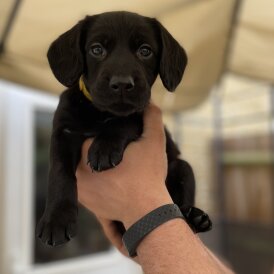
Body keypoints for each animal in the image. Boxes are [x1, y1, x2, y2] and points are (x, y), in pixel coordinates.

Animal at [37, 11, 212, 246]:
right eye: (96, 49)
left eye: (145, 51)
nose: (121, 83)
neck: (100, 114)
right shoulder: (63, 133)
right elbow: (59, 174)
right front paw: (56, 219)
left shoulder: (139, 111)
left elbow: (124, 120)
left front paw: (104, 148)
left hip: (182, 166)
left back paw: (195, 218)